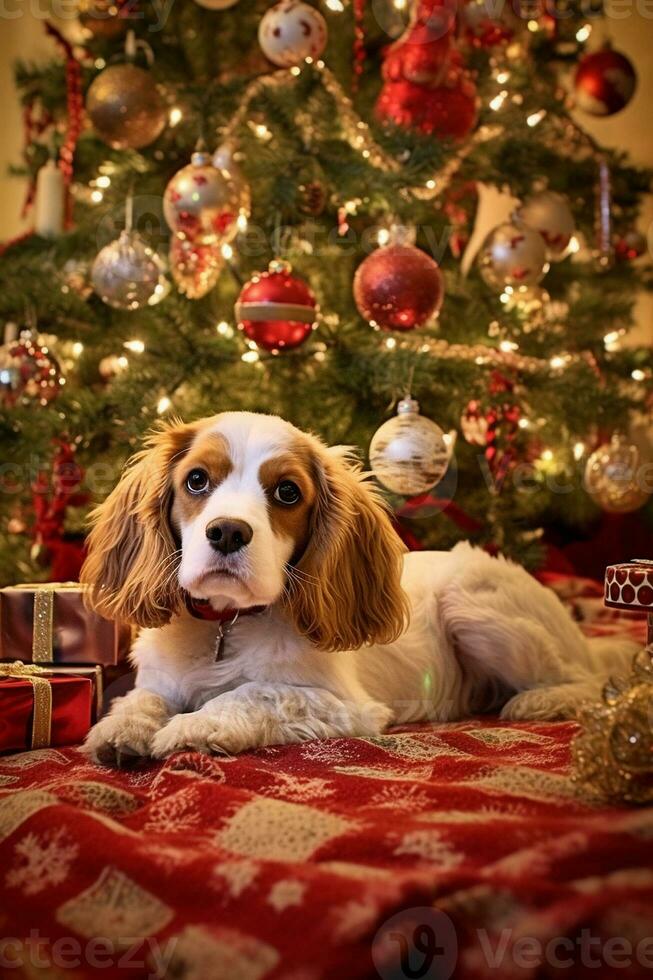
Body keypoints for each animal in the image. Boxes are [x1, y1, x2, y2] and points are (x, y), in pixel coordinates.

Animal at [80, 408, 632, 764]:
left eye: (287, 492)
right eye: (196, 480)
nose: (229, 532)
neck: (228, 625)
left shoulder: (348, 706)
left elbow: (254, 692)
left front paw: (193, 726)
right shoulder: (162, 680)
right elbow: (143, 698)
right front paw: (121, 728)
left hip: (474, 600)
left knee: (587, 680)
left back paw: (538, 702)